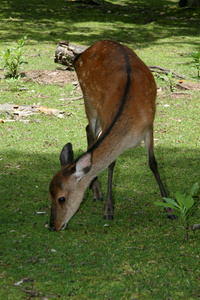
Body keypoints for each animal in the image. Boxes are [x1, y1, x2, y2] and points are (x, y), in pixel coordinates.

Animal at [48, 39, 175, 232]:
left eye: (61, 198)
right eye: (49, 195)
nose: (52, 226)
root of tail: (85, 51)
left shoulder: (149, 126)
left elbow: (153, 163)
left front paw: (169, 209)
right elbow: (111, 164)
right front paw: (108, 210)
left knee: (88, 130)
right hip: (88, 99)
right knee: (89, 131)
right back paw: (96, 192)